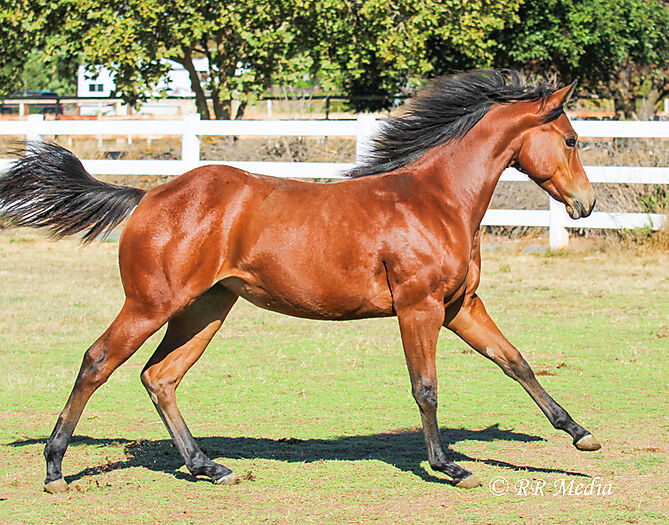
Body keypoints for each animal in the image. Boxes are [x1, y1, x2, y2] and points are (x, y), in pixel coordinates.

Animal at [0, 69, 599, 493]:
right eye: (571, 140)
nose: (586, 204)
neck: (436, 200)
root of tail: (148, 195)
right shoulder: (419, 306)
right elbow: (425, 387)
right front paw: (447, 465)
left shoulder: (461, 306)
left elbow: (515, 361)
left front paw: (578, 434)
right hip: (152, 302)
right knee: (97, 361)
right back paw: (55, 469)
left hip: (205, 308)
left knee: (160, 376)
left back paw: (207, 466)